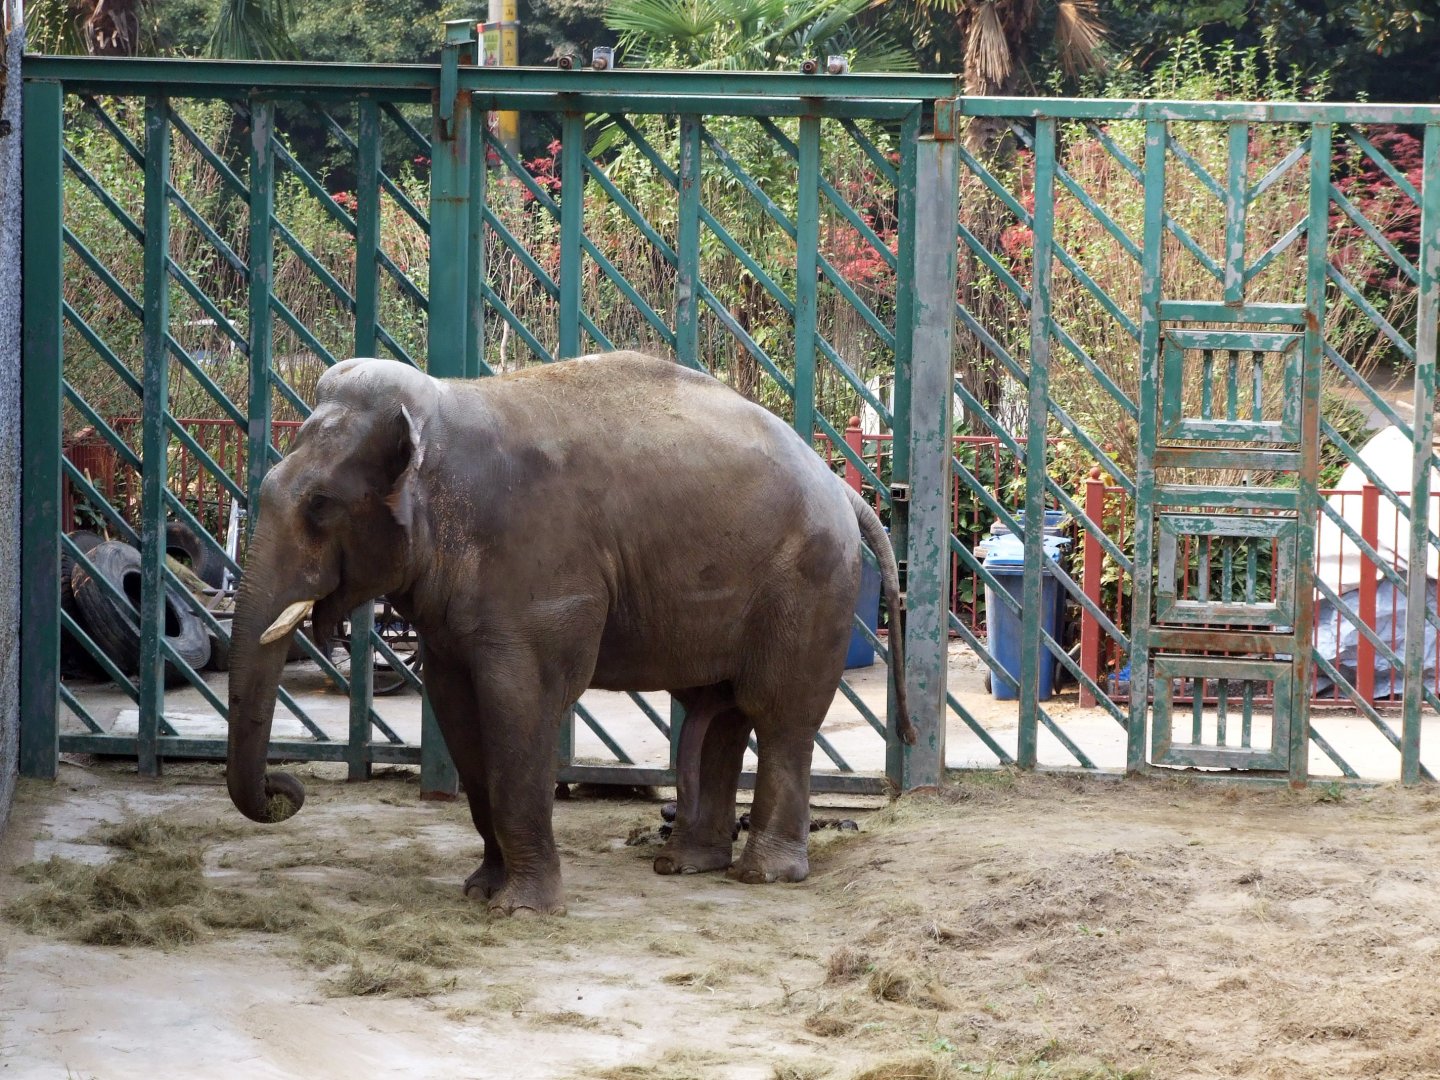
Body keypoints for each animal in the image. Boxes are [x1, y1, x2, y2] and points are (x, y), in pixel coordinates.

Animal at [226, 351, 913, 915]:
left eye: (319, 506)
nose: (285, 789)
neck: (441, 412)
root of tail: (842, 488)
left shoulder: (537, 573)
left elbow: (521, 706)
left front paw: (522, 911)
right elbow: (458, 712)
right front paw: (480, 891)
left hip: (810, 583)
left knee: (778, 714)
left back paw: (761, 876)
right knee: (718, 710)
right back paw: (684, 865)